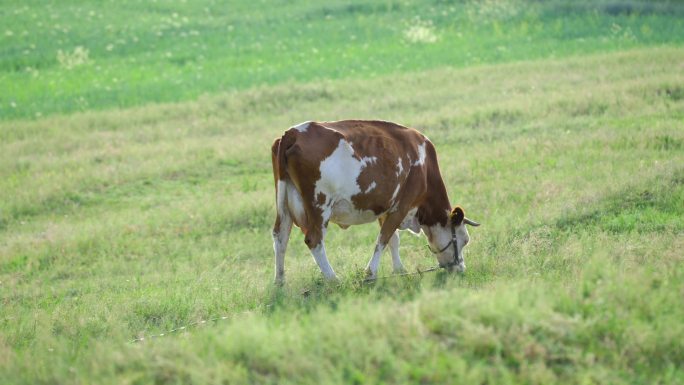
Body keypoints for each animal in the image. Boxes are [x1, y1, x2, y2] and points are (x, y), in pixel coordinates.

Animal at [270, 120, 478, 282]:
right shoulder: (401, 206)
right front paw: (370, 274)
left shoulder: (385, 208)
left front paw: (399, 270)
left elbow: (393, 239)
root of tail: (293, 132)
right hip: (320, 205)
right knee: (314, 240)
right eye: (464, 240)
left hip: (285, 203)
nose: (461, 269)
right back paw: (333, 280)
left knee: (280, 237)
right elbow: (383, 239)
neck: (425, 168)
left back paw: (280, 283)